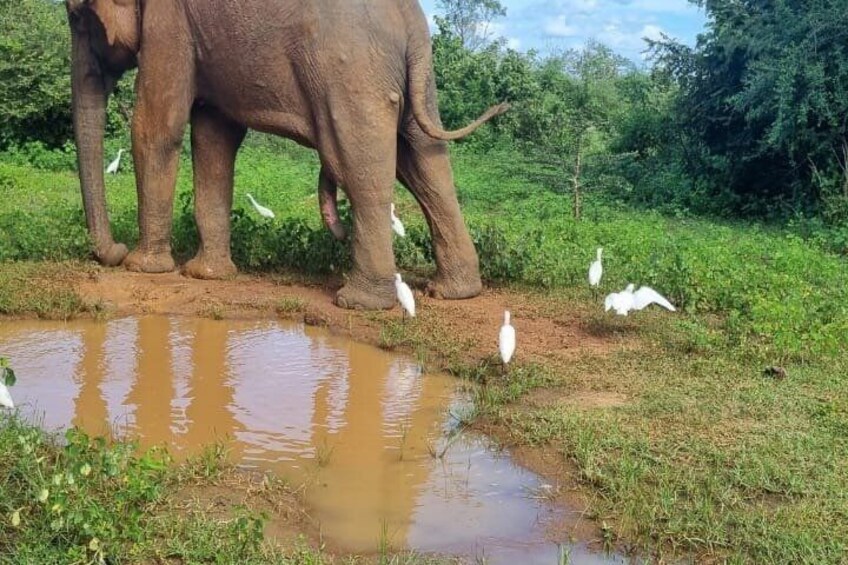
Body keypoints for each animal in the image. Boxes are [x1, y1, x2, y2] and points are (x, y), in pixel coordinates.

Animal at [67, 0, 508, 310]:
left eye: (78, 18)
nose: (113, 251)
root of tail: (412, 25)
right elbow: (214, 136)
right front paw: (206, 275)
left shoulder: (169, 22)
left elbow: (157, 127)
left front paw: (143, 268)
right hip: (415, 81)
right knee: (426, 163)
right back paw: (453, 292)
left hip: (350, 73)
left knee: (363, 169)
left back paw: (359, 302)